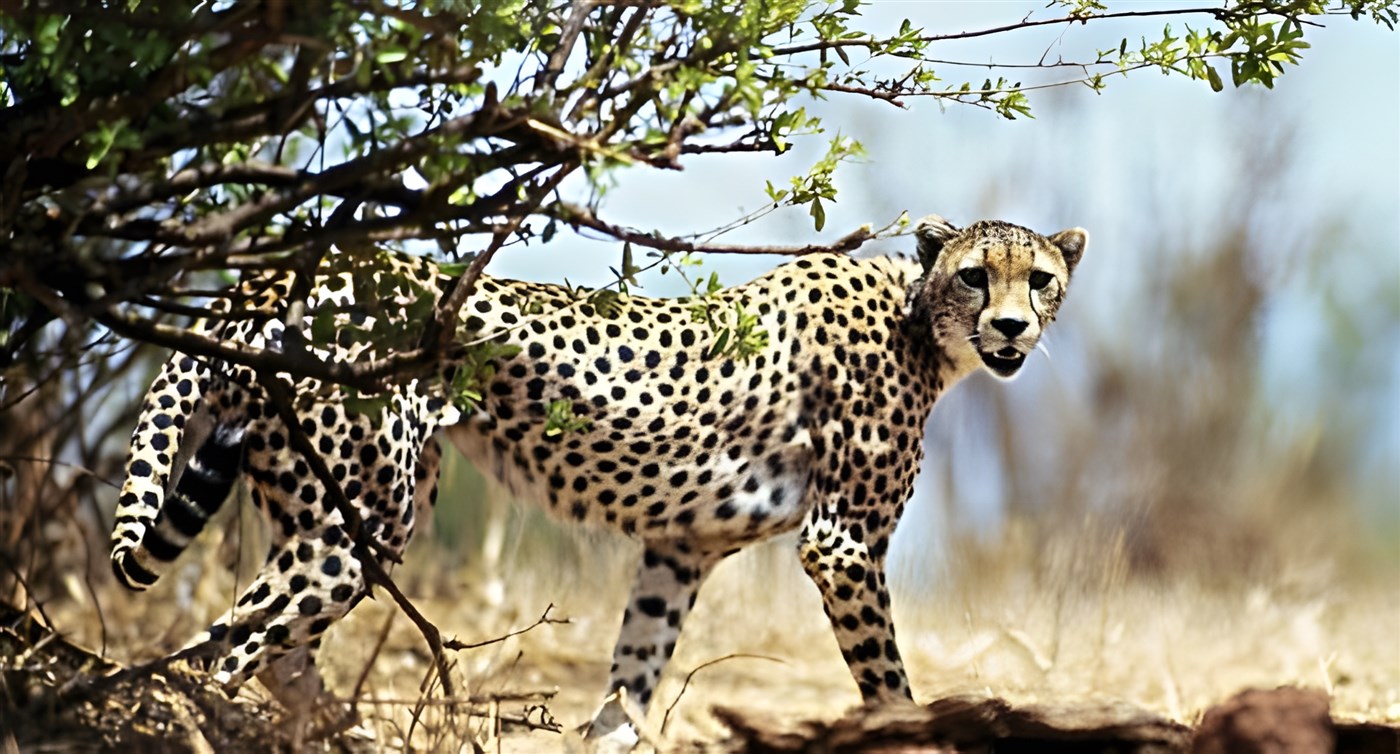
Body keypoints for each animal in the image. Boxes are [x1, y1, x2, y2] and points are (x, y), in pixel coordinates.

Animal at [110, 215, 1087, 744]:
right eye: (976, 275)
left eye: (1039, 279)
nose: (1011, 328)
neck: (922, 319)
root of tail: (286, 268)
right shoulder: (840, 546)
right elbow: (888, 687)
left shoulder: (679, 547)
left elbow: (632, 679)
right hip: (364, 522)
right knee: (226, 644)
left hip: (325, 505)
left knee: (274, 651)